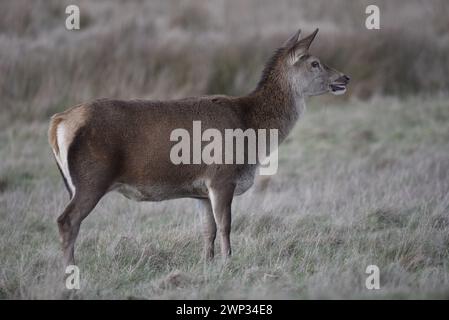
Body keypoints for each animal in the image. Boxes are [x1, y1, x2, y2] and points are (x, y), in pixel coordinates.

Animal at [49, 28, 350, 266]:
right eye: (315, 63)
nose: (345, 78)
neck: (251, 130)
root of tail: (59, 121)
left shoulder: (201, 190)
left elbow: (208, 230)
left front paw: (208, 262)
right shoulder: (221, 175)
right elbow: (226, 225)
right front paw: (229, 261)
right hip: (91, 177)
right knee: (67, 220)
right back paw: (70, 269)